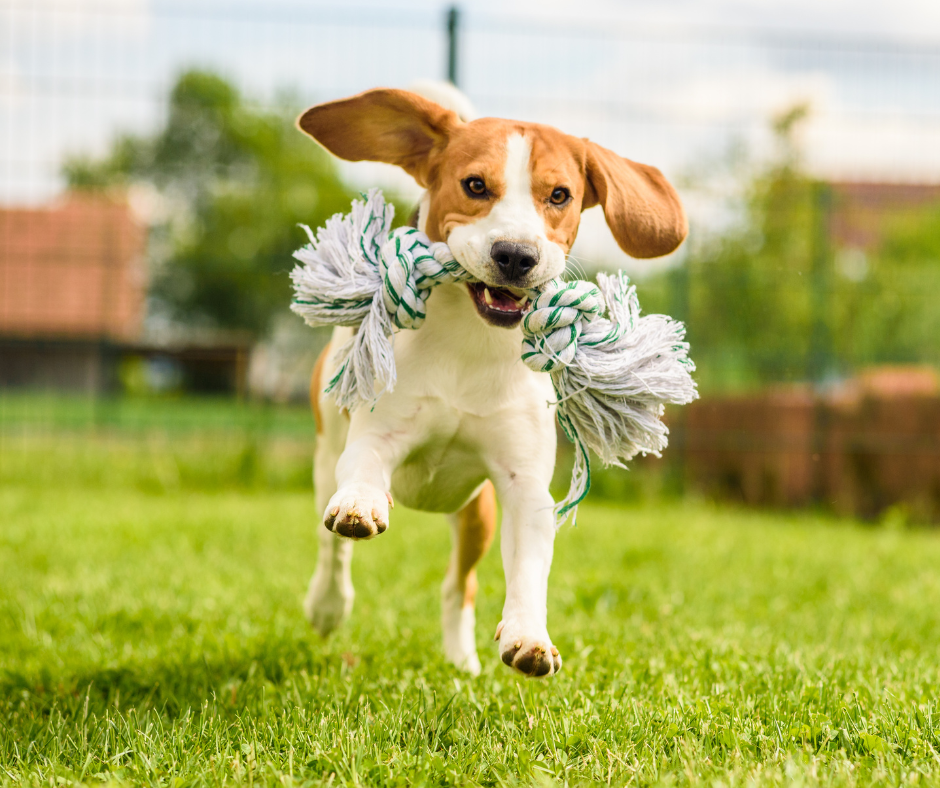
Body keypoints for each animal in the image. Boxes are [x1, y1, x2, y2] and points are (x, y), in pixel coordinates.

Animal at [298, 86, 688, 676]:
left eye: (559, 195)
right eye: (475, 185)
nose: (516, 255)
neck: (471, 346)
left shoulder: (523, 484)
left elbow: (528, 567)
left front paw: (529, 636)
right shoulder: (376, 437)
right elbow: (361, 476)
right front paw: (361, 505)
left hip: (475, 513)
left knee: (459, 585)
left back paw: (461, 661)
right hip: (326, 457)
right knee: (333, 549)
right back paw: (327, 602)